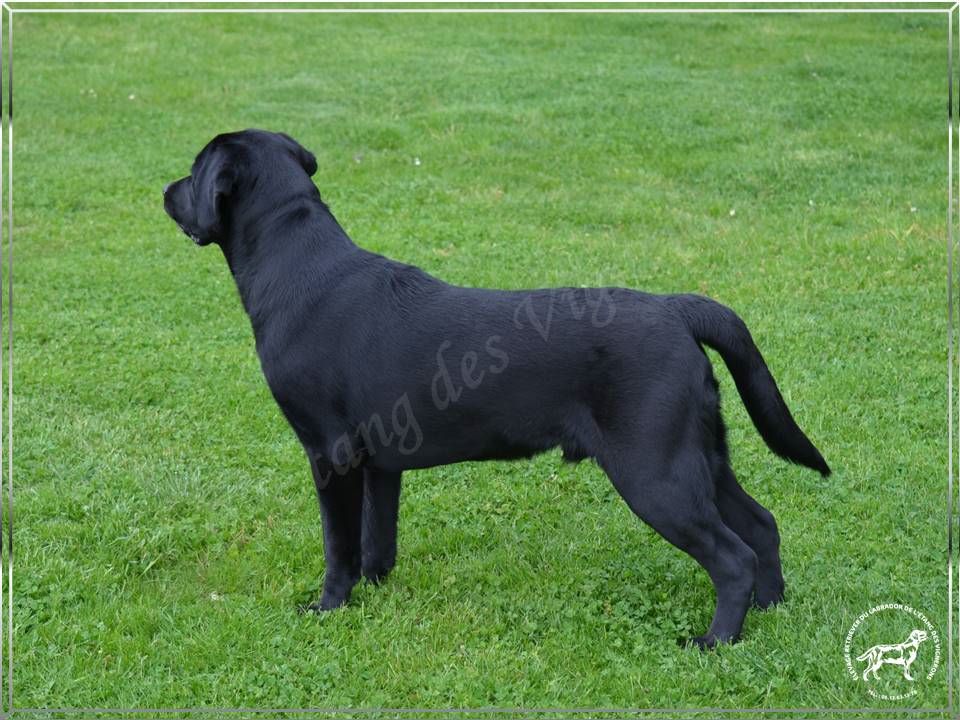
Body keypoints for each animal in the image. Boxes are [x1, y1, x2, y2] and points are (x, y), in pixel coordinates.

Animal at [163, 129, 824, 648]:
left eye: (194, 170)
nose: (166, 190)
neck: (296, 266)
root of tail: (677, 309)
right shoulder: (381, 463)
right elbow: (378, 540)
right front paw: (377, 594)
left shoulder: (331, 453)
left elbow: (339, 545)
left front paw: (328, 608)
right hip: (699, 454)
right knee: (762, 524)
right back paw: (771, 609)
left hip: (654, 472)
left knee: (733, 557)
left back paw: (715, 641)